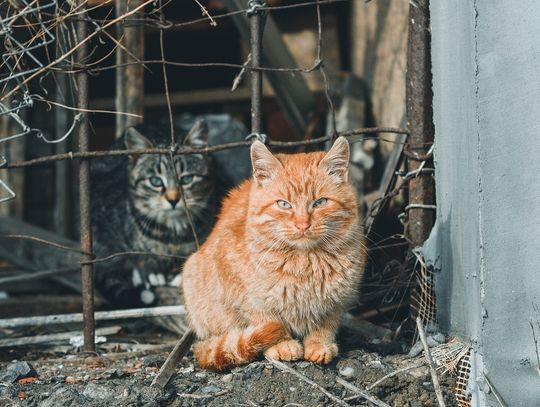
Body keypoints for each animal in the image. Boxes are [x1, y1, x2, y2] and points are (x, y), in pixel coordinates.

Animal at [182, 138, 368, 372]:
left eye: (320, 202)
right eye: (284, 204)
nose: (302, 225)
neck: (304, 262)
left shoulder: (339, 300)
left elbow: (327, 324)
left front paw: (319, 344)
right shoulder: (244, 295)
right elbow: (266, 320)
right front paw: (281, 344)